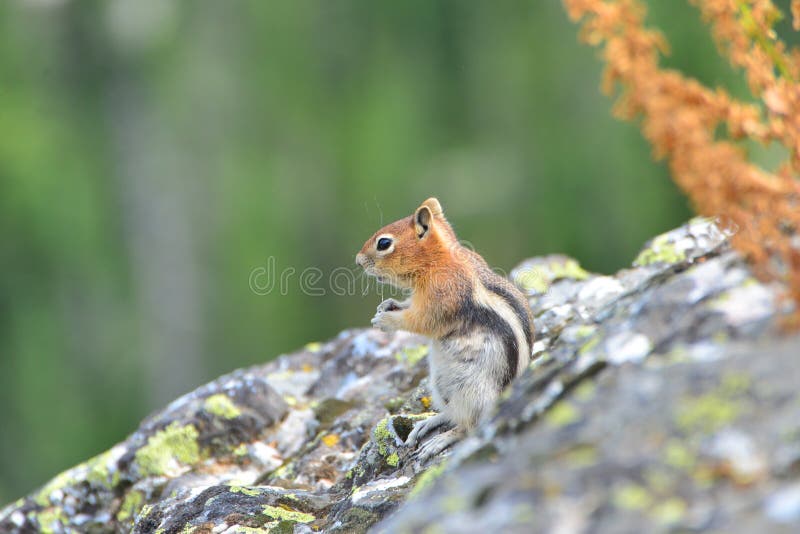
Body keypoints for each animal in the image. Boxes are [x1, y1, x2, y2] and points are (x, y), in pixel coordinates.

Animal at [354, 199, 532, 462]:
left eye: (383, 243)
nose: (358, 260)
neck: (438, 260)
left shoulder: (442, 297)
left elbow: (421, 321)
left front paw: (386, 320)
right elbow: (409, 306)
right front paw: (388, 305)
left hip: (471, 391)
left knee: (468, 426)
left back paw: (440, 440)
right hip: (439, 383)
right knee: (451, 412)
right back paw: (427, 422)